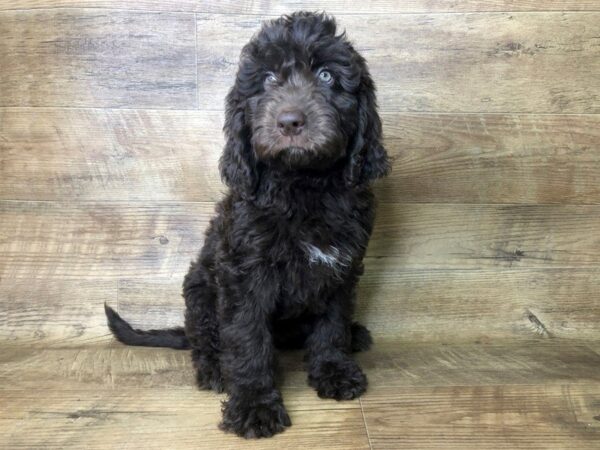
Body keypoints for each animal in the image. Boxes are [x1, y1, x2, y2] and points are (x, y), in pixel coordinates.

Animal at [106, 10, 390, 438]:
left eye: (326, 76)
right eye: (269, 79)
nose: (290, 122)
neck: (302, 184)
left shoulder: (340, 266)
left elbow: (332, 323)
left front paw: (334, 371)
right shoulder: (245, 276)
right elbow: (247, 340)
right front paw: (255, 405)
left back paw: (353, 336)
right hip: (200, 290)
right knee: (205, 339)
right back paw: (214, 370)